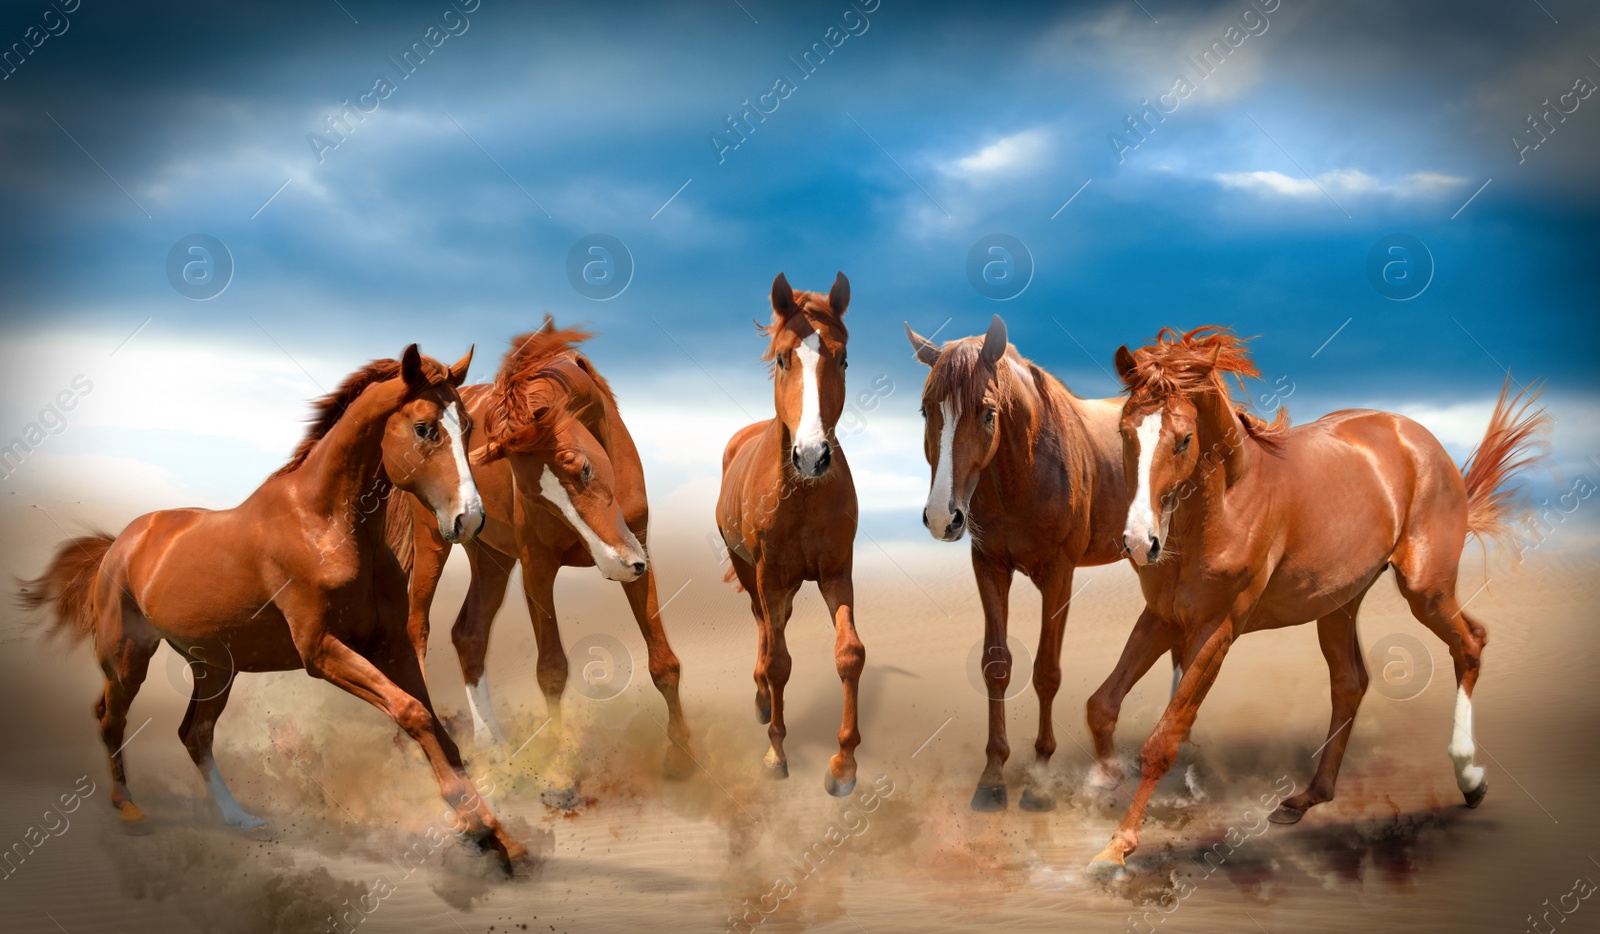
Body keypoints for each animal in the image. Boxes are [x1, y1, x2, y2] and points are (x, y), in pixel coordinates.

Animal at [18, 347, 528, 863]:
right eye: (425, 428)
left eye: (468, 425)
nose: (470, 520)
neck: (326, 525)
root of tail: (120, 542)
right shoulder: (321, 651)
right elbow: (413, 714)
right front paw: (477, 828)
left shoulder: (391, 647)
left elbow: (438, 729)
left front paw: (500, 838)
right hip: (127, 658)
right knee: (111, 717)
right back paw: (129, 809)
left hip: (215, 667)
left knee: (194, 734)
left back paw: (240, 819)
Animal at [393, 316, 694, 777]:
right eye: (534, 497)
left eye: (584, 468)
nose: (614, 565)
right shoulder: (538, 567)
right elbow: (551, 668)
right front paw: (560, 767)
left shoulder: (640, 551)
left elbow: (663, 662)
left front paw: (682, 758)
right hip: (434, 544)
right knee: (417, 628)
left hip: (491, 557)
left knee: (469, 633)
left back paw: (492, 744)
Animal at [716, 270, 864, 796]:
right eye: (783, 357)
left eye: (843, 358)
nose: (812, 456)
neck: (801, 496)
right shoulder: (769, 575)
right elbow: (780, 661)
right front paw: (776, 753)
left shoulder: (837, 573)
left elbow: (849, 654)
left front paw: (843, 764)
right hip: (750, 570)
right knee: (763, 625)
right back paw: (762, 700)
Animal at [908, 313, 1145, 809]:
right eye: (926, 411)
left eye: (987, 413)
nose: (942, 517)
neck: (1024, 474)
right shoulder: (989, 567)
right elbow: (996, 666)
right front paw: (993, 775)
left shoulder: (1059, 576)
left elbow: (1046, 673)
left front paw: (1039, 777)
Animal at [1088, 324, 1548, 870]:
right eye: (1124, 434)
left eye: (1183, 440)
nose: (1140, 543)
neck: (1226, 504)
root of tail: (1418, 437)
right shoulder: (1162, 618)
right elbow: (1103, 704)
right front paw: (1101, 785)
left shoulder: (1216, 630)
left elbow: (1164, 739)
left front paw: (1117, 847)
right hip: (1339, 604)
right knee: (1351, 682)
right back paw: (1308, 798)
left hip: (1426, 589)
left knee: (1470, 643)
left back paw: (1470, 778)